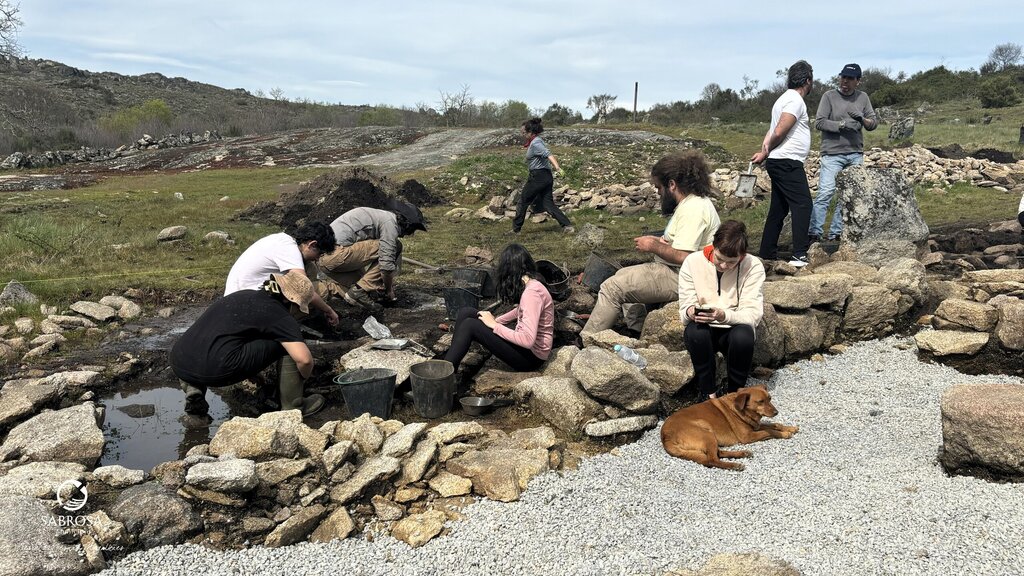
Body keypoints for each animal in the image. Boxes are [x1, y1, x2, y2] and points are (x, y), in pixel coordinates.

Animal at [660, 385, 798, 471]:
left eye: (770, 399)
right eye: (760, 402)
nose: (776, 412)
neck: (742, 410)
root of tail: (665, 436)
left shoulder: (755, 426)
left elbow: (775, 424)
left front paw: (790, 428)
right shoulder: (747, 436)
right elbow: (769, 431)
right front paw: (784, 434)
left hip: (710, 437)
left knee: (718, 453)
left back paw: (743, 453)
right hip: (706, 433)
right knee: (712, 460)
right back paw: (734, 465)